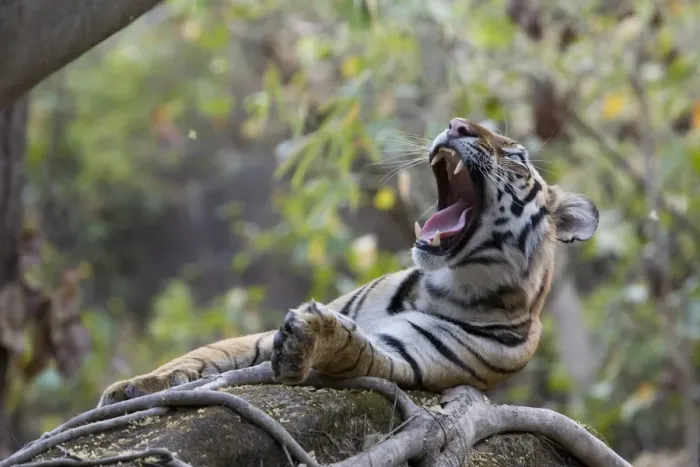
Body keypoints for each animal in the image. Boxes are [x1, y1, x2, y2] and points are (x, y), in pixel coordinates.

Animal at [97, 117, 598, 407]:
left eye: (516, 158)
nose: (458, 125)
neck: (440, 284)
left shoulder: (407, 360)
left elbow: (357, 350)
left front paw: (310, 339)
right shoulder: (254, 338)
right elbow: (208, 353)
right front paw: (132, 387)